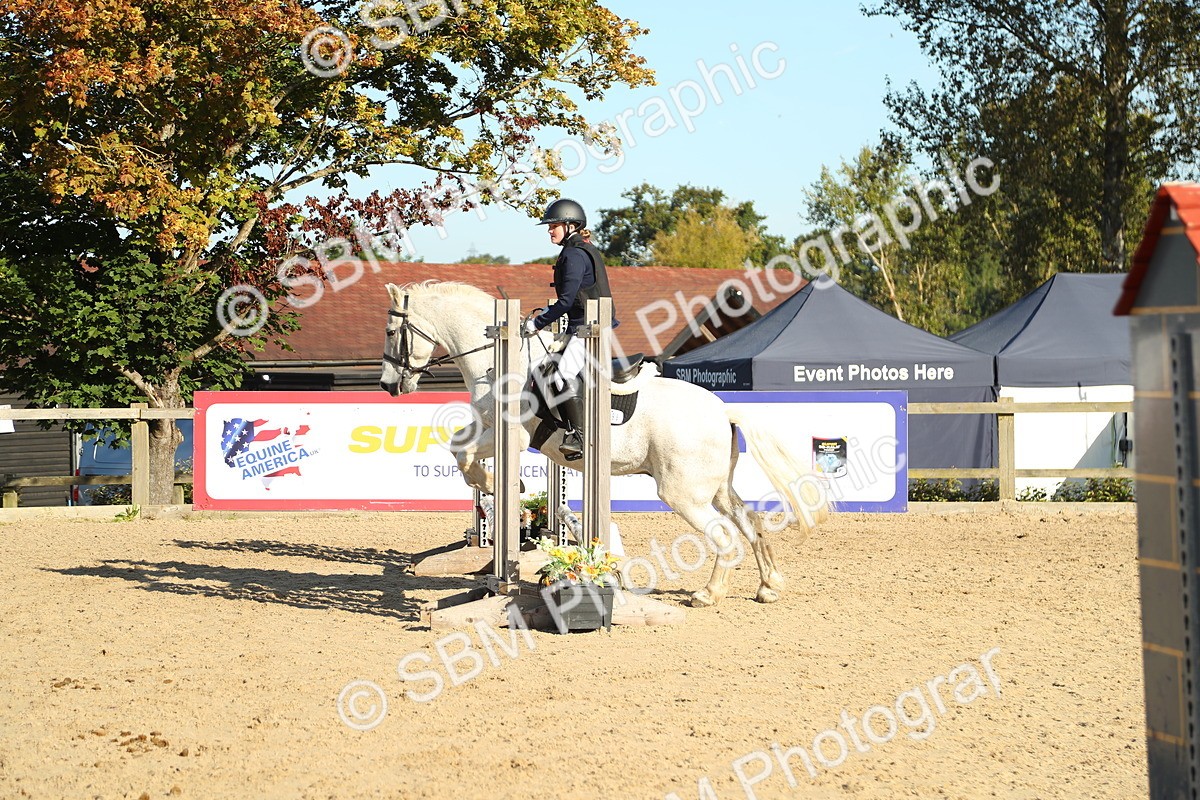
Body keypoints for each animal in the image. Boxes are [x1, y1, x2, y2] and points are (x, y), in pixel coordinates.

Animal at [377, 280, 830, 607]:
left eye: (390, 331)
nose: (386, 385)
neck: (500, 358)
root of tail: (722, 410)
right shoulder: (487, 426)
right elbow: (459, 445)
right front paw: (494, 485)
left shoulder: (512, 436)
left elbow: (463, 452)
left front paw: (498, 484)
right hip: (716, 488)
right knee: (749, 522)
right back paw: (769, 586)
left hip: (683, 493)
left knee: (724, 535)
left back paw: (708, 594)